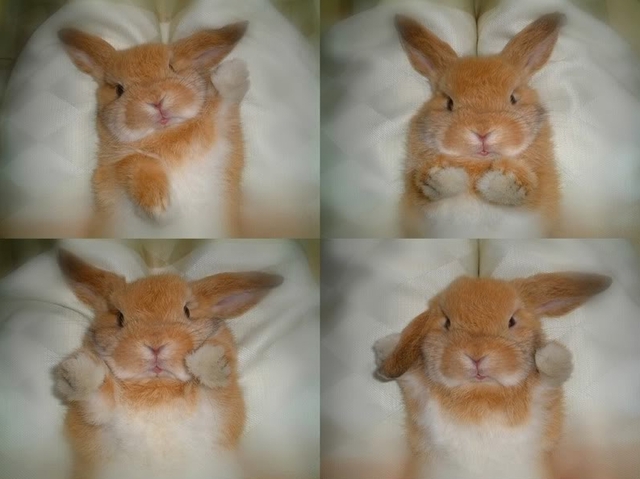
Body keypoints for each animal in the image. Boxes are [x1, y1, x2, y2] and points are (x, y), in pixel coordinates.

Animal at [52, 249, 283, 479]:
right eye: (119, 317)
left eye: (187, 311)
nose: (155, 345)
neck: (157, 385)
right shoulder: (101, 416)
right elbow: (96, 396)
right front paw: (76, 371)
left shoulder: (217, 410)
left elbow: (213, 386)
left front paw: (208, 360)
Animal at [58, 22, 249, 237]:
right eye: (119, 90)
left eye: (172, 67)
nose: (156, 101)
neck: (164, 134)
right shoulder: (110, 171)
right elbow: (134, 163)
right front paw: (161, 210)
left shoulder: (224, 136)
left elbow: (224, 102)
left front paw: (233, 71)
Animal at [373, 271, 612, 479]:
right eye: (447, 323)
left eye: (512, 321)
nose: (476, 356)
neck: (482, 391)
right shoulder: (421, 397)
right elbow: (410, 376)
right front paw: (385, 345)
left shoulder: (543, 394)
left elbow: (554, 371)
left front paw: (547, 354)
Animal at [397, 13, 566, 238]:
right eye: (449, 103)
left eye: (513, 98)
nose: (483, 133)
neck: (477, 164)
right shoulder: (416, 201)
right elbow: (422, 189)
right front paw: (443, 174)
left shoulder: (541, 198)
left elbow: (531, 192)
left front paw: (502, 179)